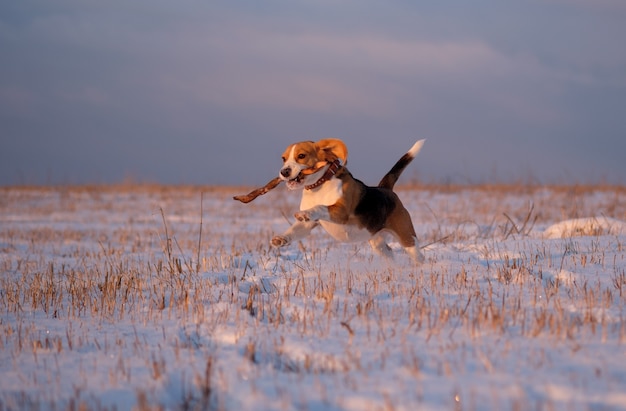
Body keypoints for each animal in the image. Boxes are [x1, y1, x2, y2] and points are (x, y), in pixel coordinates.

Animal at [270, 139, 424, 264]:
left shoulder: (340, 212)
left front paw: (306, 213)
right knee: (389, 253)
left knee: (419, 256)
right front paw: (281, 239)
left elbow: (320, 207)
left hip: (407, 237)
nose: (284, 172)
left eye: (301, 156)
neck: (320, 184)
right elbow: (295, 229)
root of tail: (385, 189)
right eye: (283, 159)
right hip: (377, 242)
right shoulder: (308, 225)